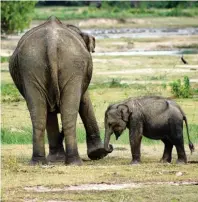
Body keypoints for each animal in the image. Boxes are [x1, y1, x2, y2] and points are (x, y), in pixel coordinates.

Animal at [9, 16, 112, 166]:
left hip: (31, 67)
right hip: (68, 65)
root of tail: (51, 41)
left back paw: (40, 162)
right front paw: (98, 153)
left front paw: (56, 159)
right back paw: (72, 162)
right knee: (67, 111)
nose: (110, 147)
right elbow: (84, 100)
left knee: (39, 113)